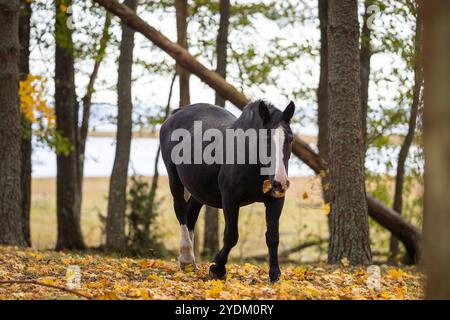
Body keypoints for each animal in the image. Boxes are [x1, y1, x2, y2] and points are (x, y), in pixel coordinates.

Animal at [161, 100, 296, 282]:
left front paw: (275, 274)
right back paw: (187, 258)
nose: (280, 182)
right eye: (266, 139)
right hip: (174, 178)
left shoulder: (276, 199)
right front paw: (217, 269)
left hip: (199, 189)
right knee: (181, 210)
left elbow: (273, 236)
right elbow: (231, 235)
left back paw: (187, 262)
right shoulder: (230, 198)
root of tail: (176, 114)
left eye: (290, 139)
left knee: (191, 214)